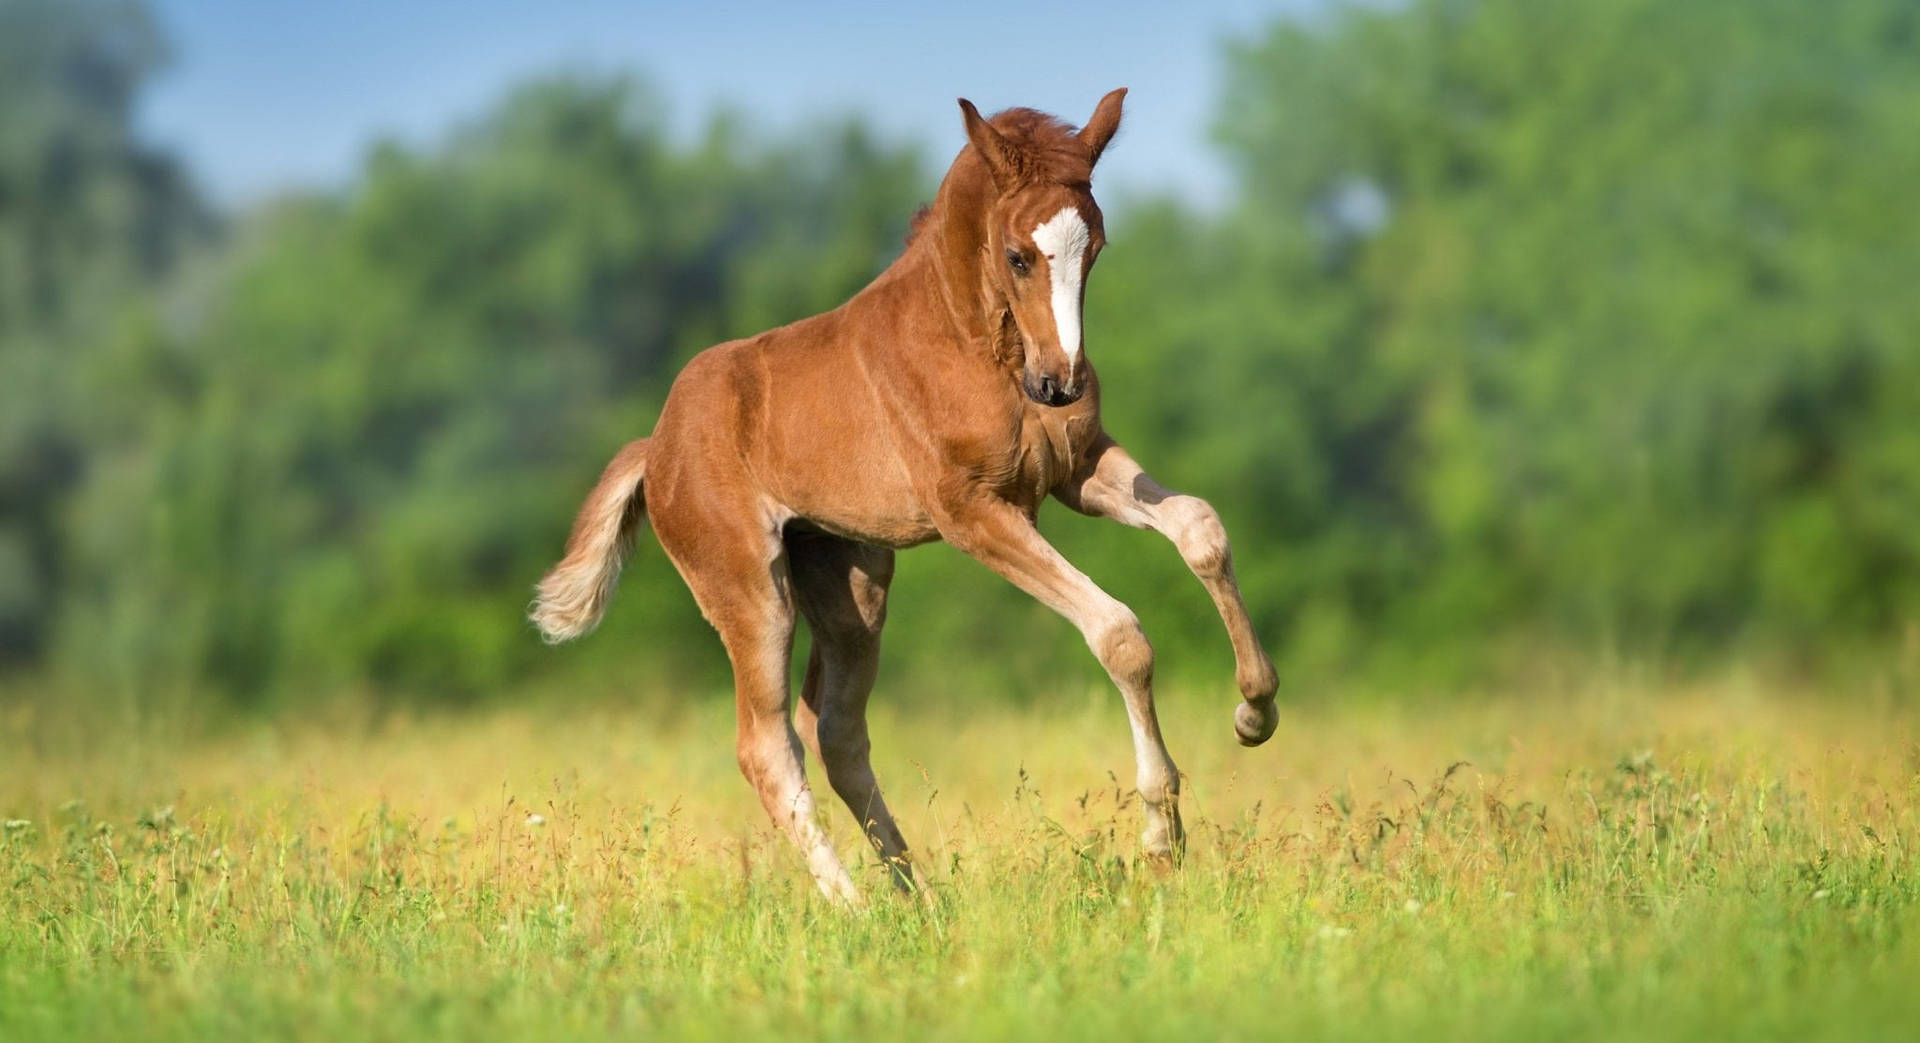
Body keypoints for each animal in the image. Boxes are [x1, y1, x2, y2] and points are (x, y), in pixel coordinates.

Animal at [529, 91, 1274, 906]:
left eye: (1097, 248)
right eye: (1018, 255)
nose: (1062, 384)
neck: (974, 344)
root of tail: (655, 445)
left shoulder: (1077, 471)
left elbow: (1201, 527)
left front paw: (1254, 711)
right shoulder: (972, 511)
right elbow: (1118, 632)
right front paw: (1162, 836)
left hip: (852, 582)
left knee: (836, 732)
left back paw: (917, 900)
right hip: (749, 589)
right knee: (766, 745)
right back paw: (853, 907)